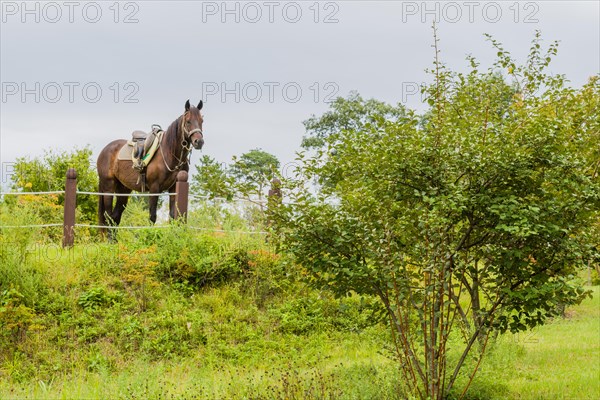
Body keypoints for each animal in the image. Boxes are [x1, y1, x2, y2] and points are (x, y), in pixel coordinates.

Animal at [96, 100, 204, 236]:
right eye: (188, 121)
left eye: (201, 121)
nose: (199, 142)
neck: (169, 153)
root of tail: (105, 150)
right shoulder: (154, 188)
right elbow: (152, 217)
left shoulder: (173, 188)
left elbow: (173, 217)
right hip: (108, 187)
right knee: (108, 216)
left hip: (123, 190)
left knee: (115, 217)